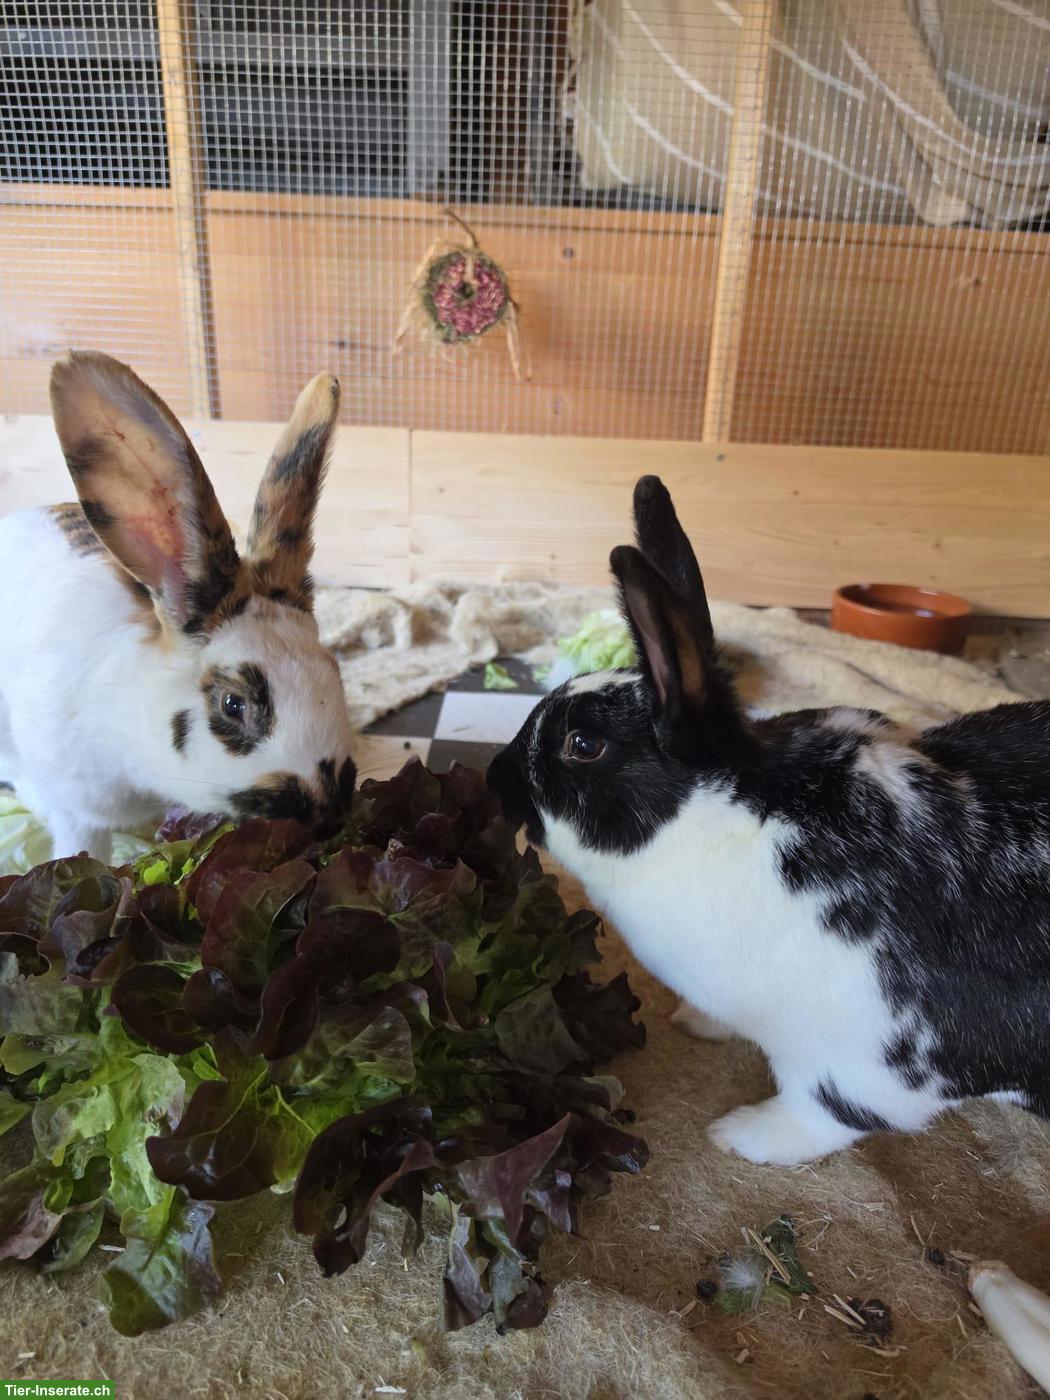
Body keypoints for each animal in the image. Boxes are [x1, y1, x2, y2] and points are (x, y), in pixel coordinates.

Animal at [487, 475, 1050, 1165]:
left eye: (582, 744)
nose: (493, 778)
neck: (723, 823)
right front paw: (697, 1022)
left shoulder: (873, 1066)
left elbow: (824, 1114)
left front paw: (740, 1135)